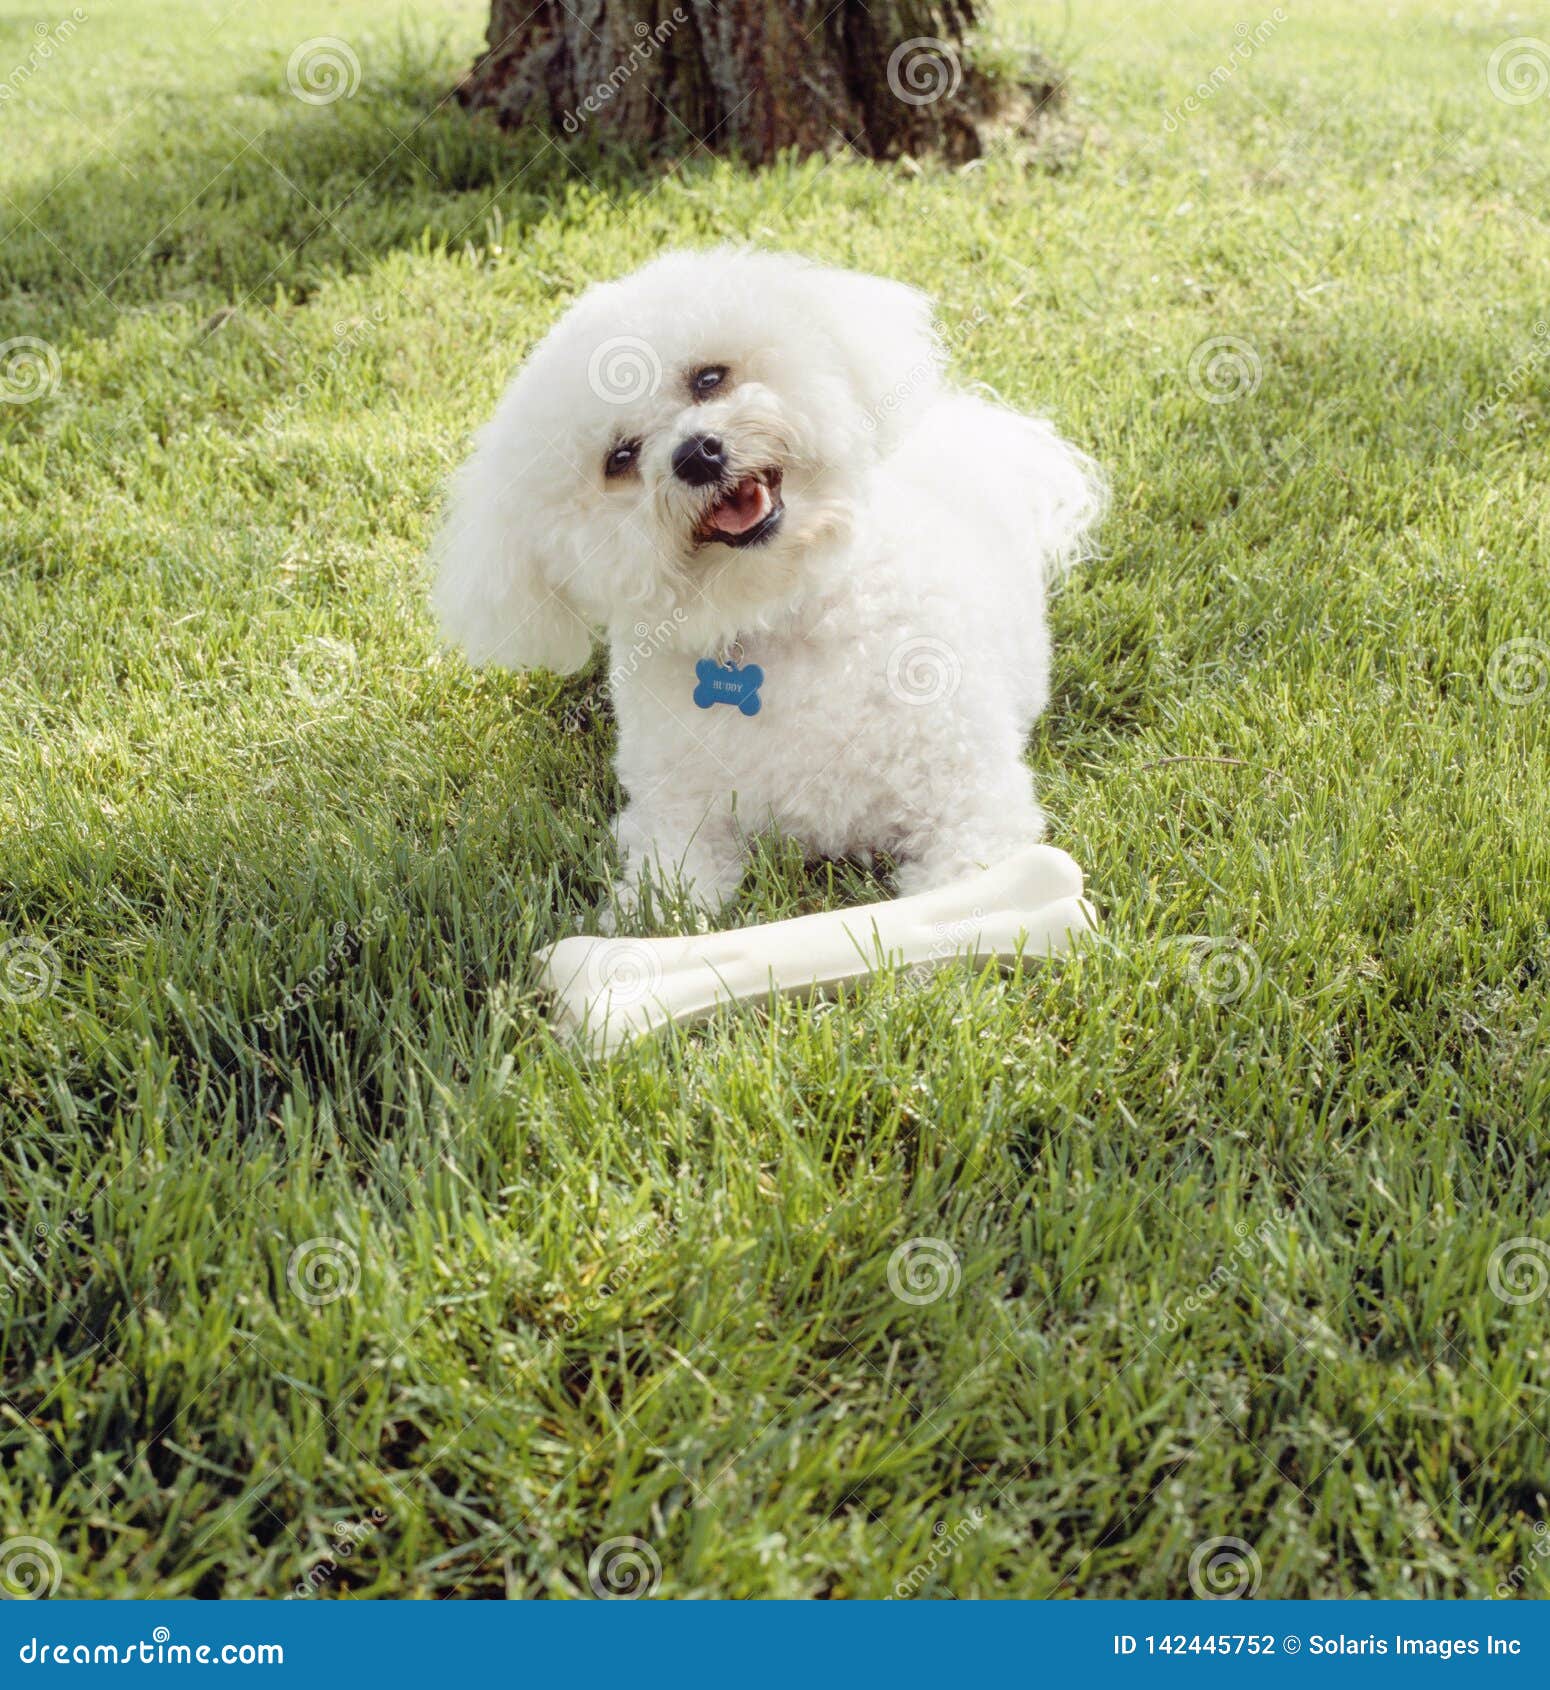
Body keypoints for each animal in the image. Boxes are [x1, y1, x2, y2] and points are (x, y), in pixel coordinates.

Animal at [436, 246, 1102, 919]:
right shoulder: (676, 821)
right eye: (619, 459)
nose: (696, 454)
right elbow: (662, 898)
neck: (778, 611)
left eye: (709, 378)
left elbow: (964, 891)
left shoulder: (969, 802)